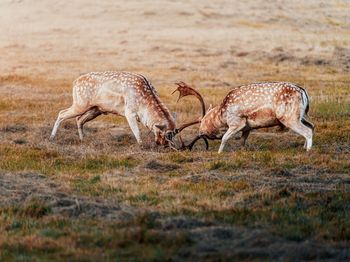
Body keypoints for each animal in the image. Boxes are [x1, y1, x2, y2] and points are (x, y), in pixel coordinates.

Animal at [50, 71, 208, 149]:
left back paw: (82, 139)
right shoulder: (129, 112)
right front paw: (142, 146)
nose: (162, 145)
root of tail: (74, 82)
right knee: (61, 113)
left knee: (79, 119)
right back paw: (52, 137)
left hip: (96, 109)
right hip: (80, 103)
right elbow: (136, 131)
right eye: (165, 134)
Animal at [176, 81, 316, 152]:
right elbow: (242, 141)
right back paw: (304, 146)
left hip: (289, 117)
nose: (200, 132)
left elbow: (225, 138)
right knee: (312, 126)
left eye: (203, 121)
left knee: (307, 131)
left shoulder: (237, 122)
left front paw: (219, 153)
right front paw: (242, 151)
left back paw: (308, 151)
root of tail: (303, 91)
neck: (223, 114)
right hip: (301, 116)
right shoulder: (248, 127)